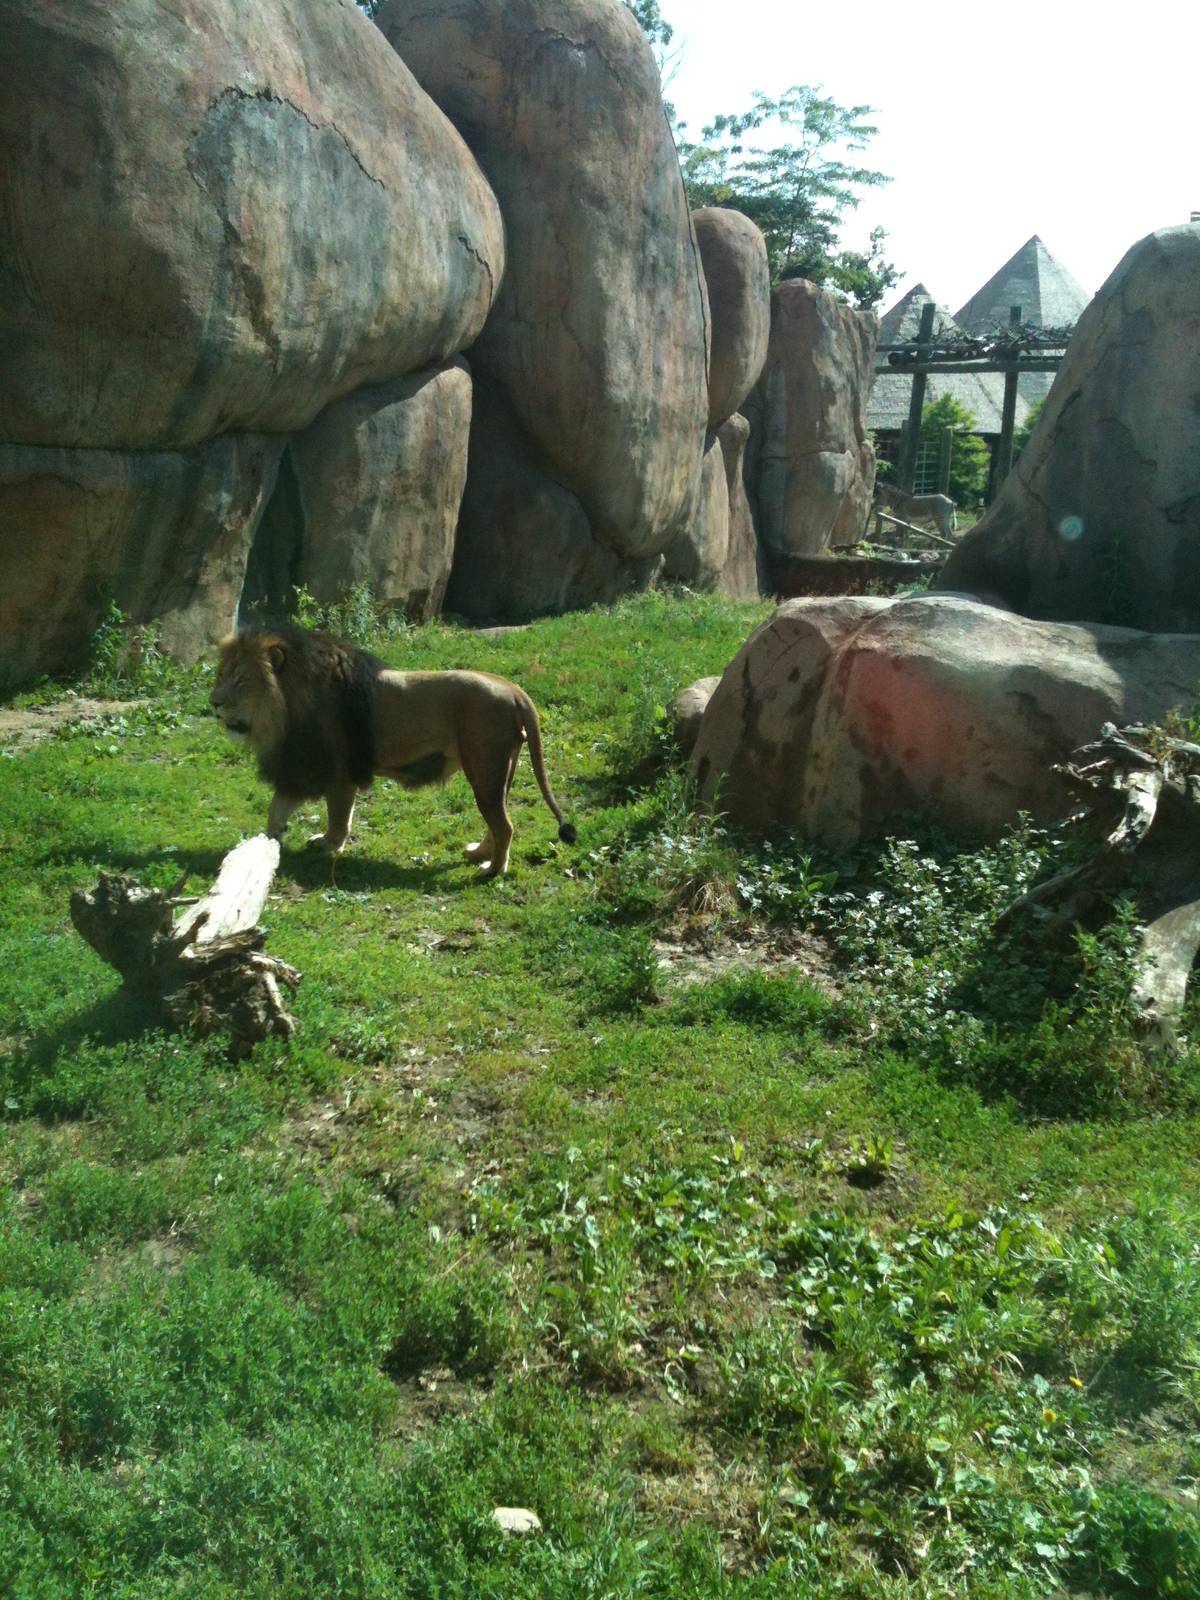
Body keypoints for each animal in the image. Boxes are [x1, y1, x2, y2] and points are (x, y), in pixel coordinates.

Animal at [210, 624, 576, 878]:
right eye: (221, 675)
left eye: (241, 681)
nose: (213, 703)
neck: (285, 706)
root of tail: (514, 689)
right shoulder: (302, 766)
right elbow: (276, 809)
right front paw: (264, 846)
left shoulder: (332, 770)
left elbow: (337, 816)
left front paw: (328, 845)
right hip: (499, 770)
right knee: (499, 821)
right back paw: (479, 854)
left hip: (485, 769)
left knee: (505, 826)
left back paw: (492, 871)